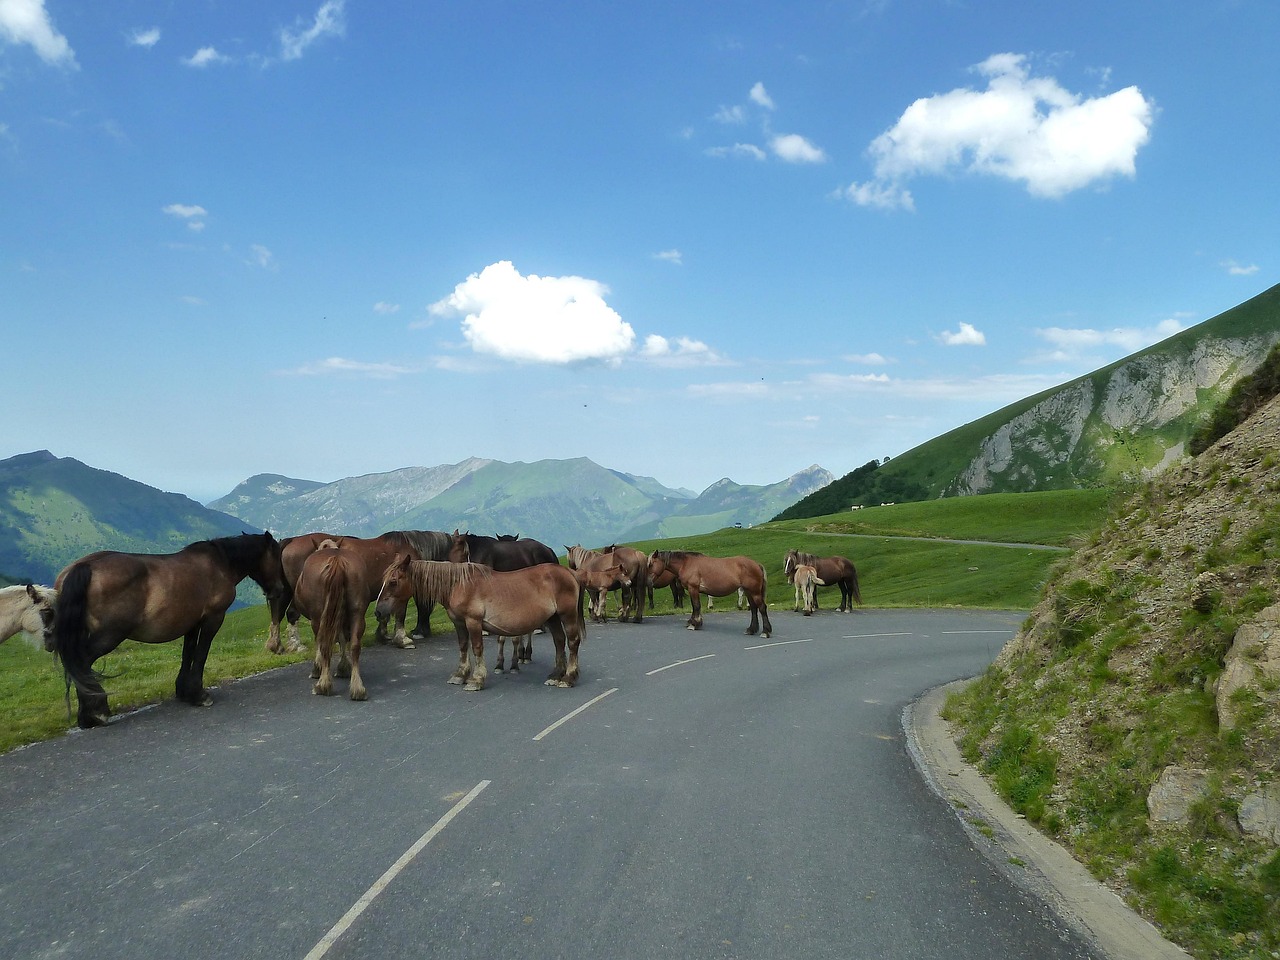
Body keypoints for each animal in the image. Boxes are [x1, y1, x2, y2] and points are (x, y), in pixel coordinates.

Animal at [51, 535, 286, 727]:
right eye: (277, 557)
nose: (280, 590)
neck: (220, 564)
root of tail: (85, 566)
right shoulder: (213, 619)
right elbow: (201, 654)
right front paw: (199, 695)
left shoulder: (192, 623)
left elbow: (188, 654)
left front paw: (184, 692)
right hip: (110, 635)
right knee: (82, 662)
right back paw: (95, 713)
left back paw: (87, 715)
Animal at [264, 529, 455, 660]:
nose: (422, 631)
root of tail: (291, 541)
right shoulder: (399, 591)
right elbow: (399, 614)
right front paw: (402, 639)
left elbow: (384, 614)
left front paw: (383, 635)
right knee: (292, 614)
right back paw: (297, 645)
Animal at [291, 537, 371, 701]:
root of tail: (337, 560)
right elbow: (342, 639)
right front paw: (343, 667)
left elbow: (321, 643)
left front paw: (317, 668)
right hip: (357, 613)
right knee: (355, 645)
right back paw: (358, 689)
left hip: (318, 617)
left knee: (324, 643)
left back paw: (323, 684)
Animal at [373, 560, 586, 696]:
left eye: (393, 581)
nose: (378, 611)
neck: (458, 585)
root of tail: (570, 572)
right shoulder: (459, 623)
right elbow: (462, 646)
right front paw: (460, 675)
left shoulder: (473, 622)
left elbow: (476, 648)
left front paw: (476, 679)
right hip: (553, 618)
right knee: (559, 641)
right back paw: (556, 675)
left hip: (567, 615)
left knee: (572, 642)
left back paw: (568, 677)